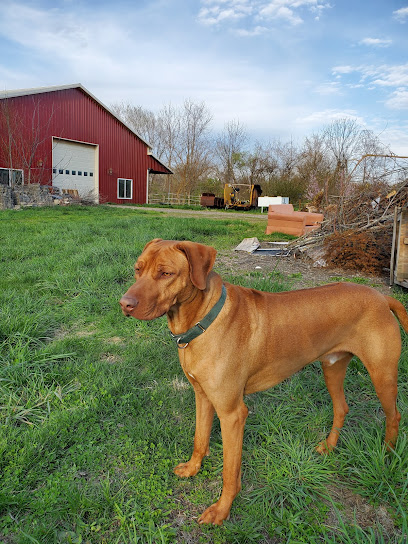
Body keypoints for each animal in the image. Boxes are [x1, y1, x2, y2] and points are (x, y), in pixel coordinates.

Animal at [120, 240, 408, 524]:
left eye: (166, 273)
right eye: (137, 269)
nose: (124, 304)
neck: (202, 321)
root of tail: (382, 297)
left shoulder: (232, 414)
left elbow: (229, 471)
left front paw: (221, 510)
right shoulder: (202, 397)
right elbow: (199, 439)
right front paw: (193, 468)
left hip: (382, 374)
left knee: (393, 416)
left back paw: (387, 455)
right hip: (333, 367)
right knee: (341, 408)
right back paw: (329, 446)